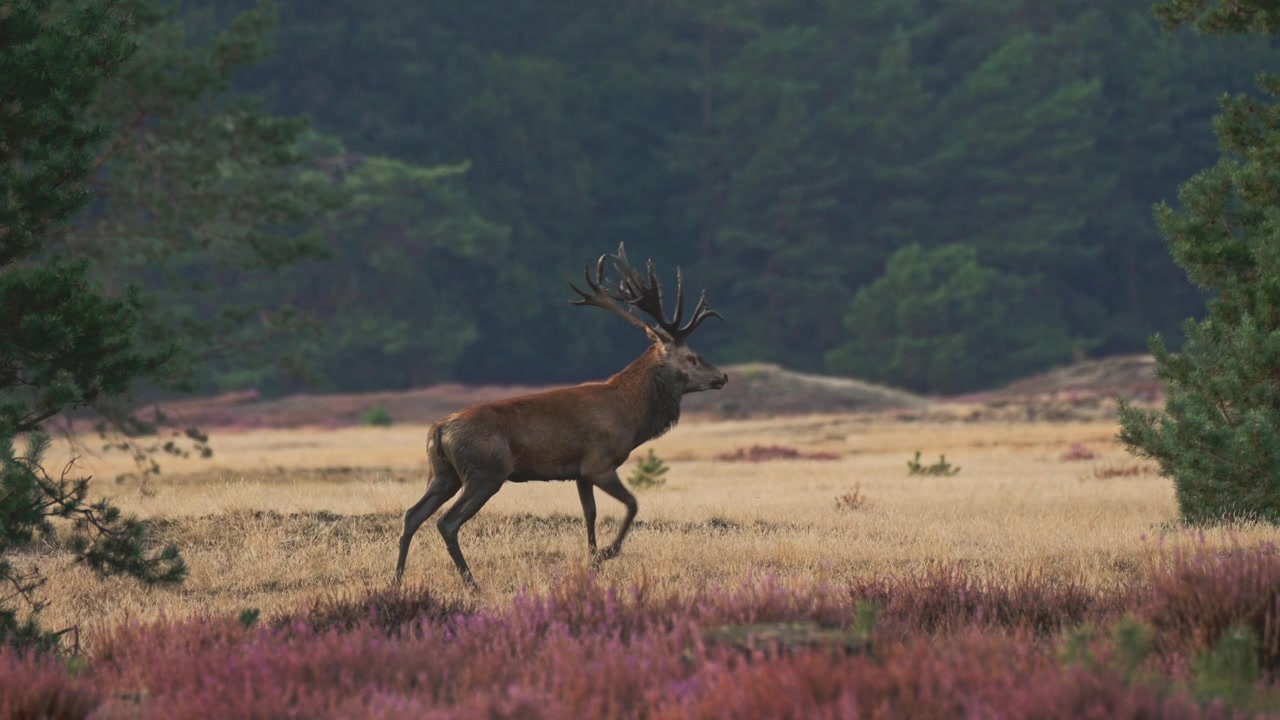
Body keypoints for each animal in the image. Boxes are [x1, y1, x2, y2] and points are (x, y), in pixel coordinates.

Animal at [394, 243, 728, 591]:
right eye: (691, 357)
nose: (723, 376)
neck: (631, 416)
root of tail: (438, 430)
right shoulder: (599, 463)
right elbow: (632, 504)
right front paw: (608, 553)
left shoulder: (580, 472)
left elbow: (590, 514)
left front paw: (593, 565)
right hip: (485, 472)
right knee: (447, 522)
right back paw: (472, 584)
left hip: (443, 474)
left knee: (412, 514)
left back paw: (398, 579)